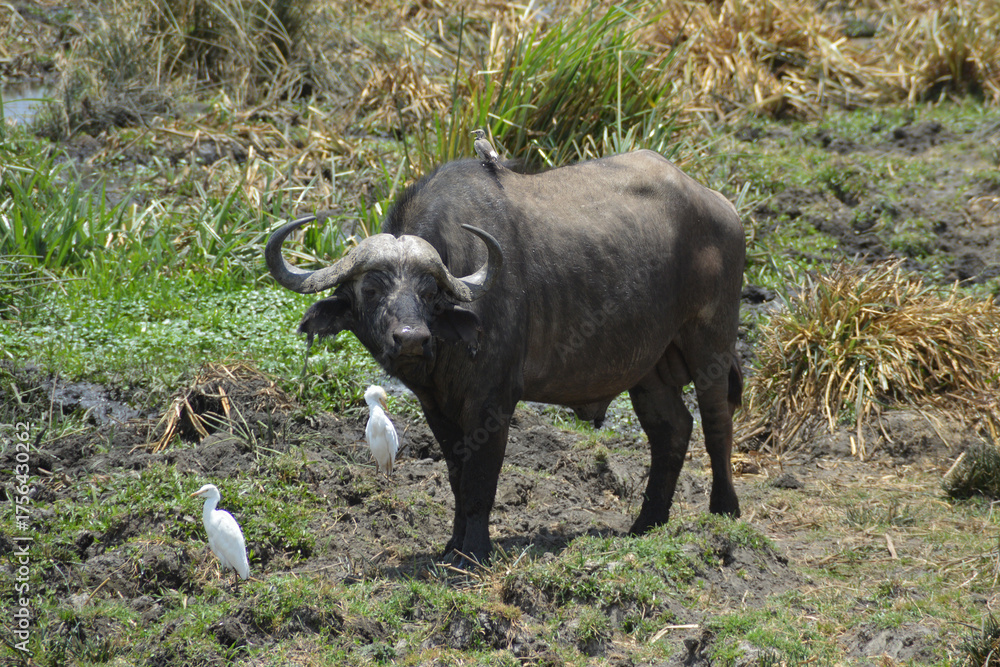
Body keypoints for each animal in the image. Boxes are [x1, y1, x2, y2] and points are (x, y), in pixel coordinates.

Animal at [265, 149, 745, 564]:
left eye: (429, 291)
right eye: (371, 288)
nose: (412, 339)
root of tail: (721, 205)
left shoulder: (493, 400)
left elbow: (482, 476)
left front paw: (475, 551)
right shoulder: (437, 405)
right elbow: (458, 474)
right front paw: (453, 545)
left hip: (711, 341)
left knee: (716, 421)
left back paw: (724, 509)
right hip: (648, 367)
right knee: (672, 429)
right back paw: (647, 523)